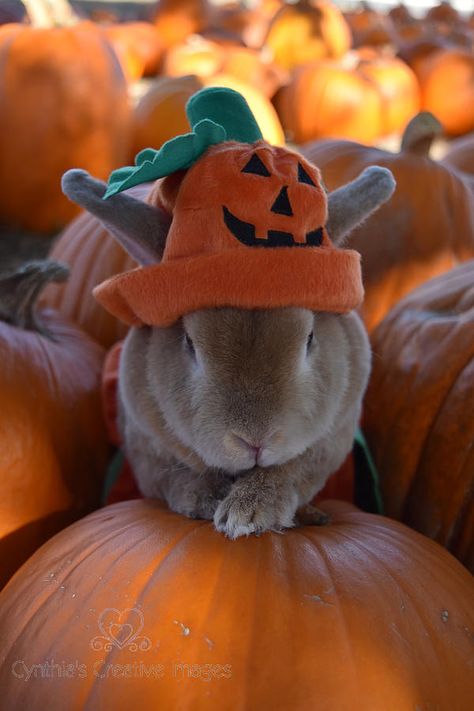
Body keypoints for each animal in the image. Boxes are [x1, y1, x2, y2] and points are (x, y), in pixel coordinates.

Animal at [63, 161, 396, 536]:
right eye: (189, 343)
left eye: (310, 338)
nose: (255, 441)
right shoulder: (144, 447)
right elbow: (173, 478)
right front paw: (209, 500)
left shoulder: (333, 439)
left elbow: (296, 470)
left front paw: (249, 512)